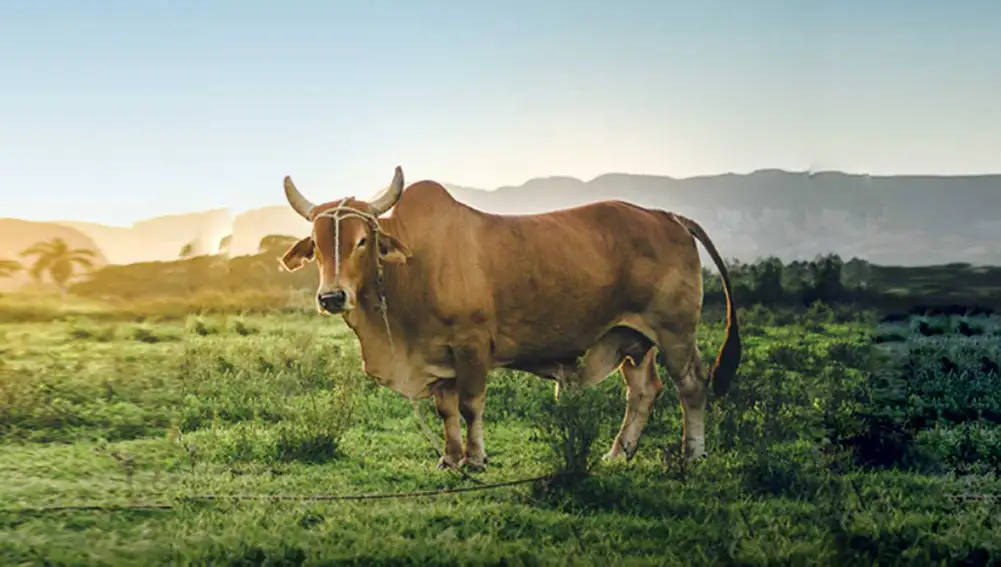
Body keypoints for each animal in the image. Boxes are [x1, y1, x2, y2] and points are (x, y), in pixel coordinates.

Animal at [278, 166, 741, 471]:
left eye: (362, 240)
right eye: (316, 245)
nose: (332, 296)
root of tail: (667, 216)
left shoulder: (472, 345)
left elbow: (470, 406)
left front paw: (476, 459)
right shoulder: (436, 354)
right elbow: (446, 411)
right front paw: (450, 459)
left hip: (674, 332)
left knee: (690, 385)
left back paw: (692, 453)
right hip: (631, 337)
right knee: (643, 391)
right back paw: (617, 453)